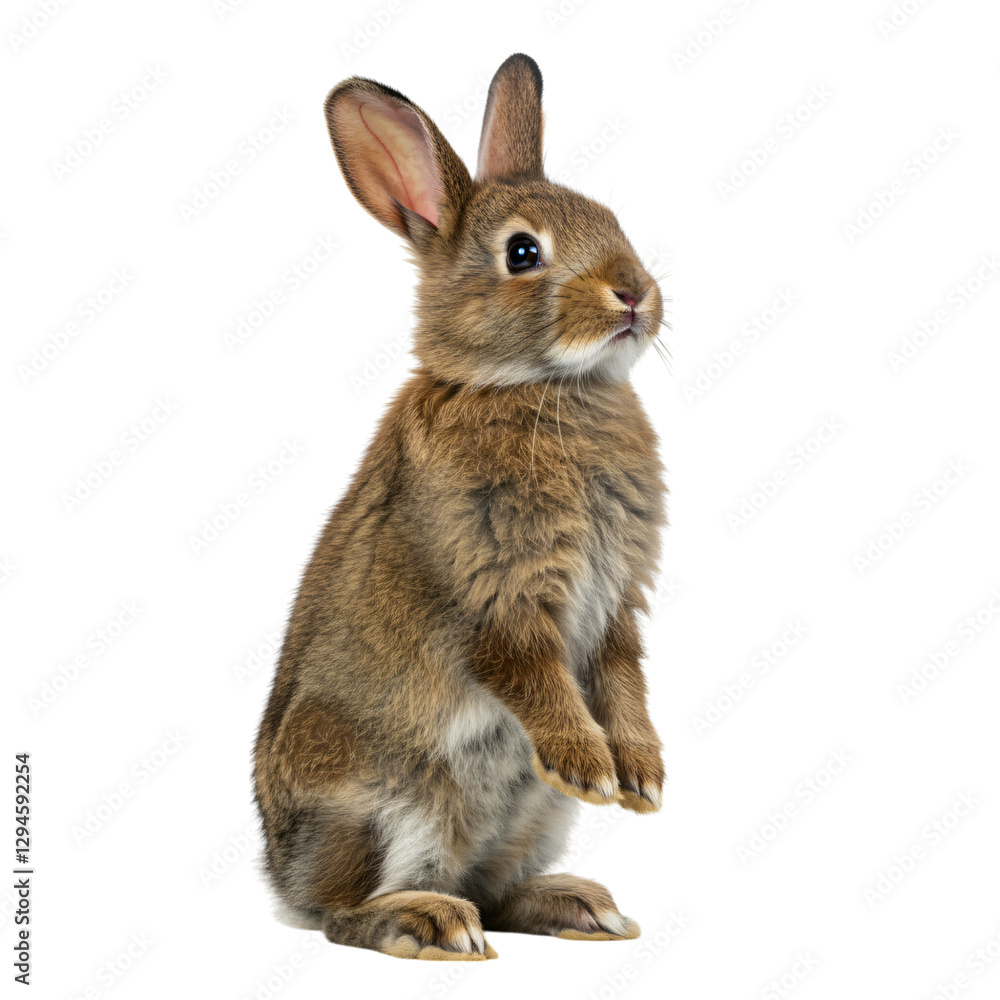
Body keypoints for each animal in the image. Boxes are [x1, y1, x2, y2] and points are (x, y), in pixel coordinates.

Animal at [253, 52, 667, 962]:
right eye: (523, 252)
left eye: (612, 219)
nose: (634, 294)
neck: (534, 386)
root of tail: (280, 878)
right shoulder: (499, 594)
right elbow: (533, 673)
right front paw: (591, 764)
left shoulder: (617, 600)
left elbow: (622, 678)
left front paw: (642, 778)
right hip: (384, 806)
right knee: (341, 915)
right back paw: (430, 922)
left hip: (531, 818)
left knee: (497, 891)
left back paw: (582, 908)